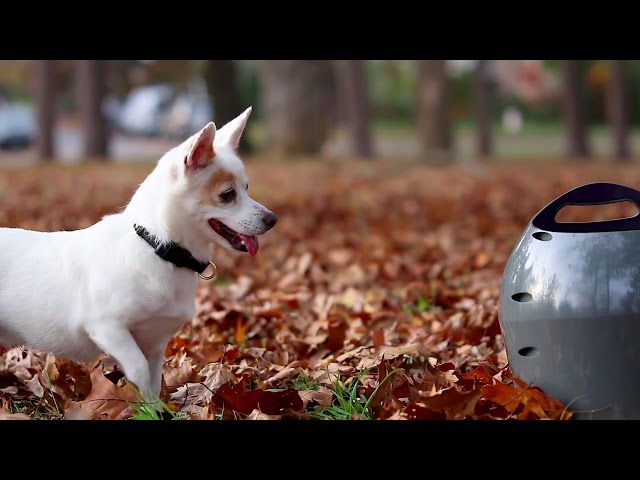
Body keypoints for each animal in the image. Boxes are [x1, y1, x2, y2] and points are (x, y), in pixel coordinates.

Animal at [0, 106, 277, 405]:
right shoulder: (108, 328)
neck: (157, 247)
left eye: (247, 188)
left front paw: (157, 408)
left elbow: (154, 379)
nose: (272, 219)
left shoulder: (155, 343)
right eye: (227, 195)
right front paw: (143, 407)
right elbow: (139, 370)